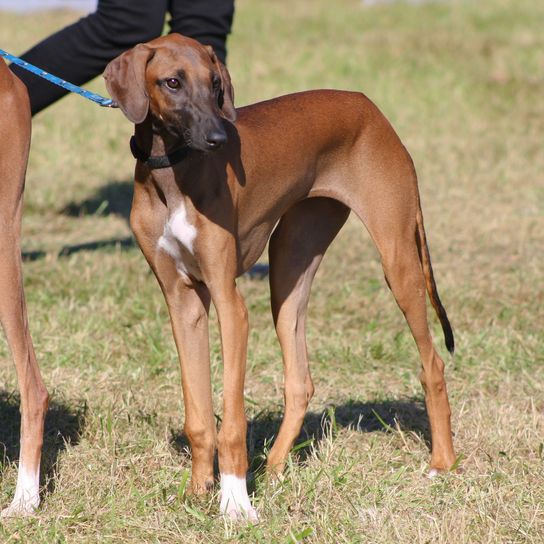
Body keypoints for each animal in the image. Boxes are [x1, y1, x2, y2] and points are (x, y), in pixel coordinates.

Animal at [104, 33, 456, 520]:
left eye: (215, 82)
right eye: (172, 82)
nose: (219, 138)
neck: (172, 172)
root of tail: (368, 106)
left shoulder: (229, 303)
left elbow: (231, 418)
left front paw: (234, 502)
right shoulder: (183, 302)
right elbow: (199, 416)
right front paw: (198, 491)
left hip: (398, 261)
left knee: (432, 364)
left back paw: (443, 463)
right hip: (289, 269)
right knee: (300, 382)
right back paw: (272, 469)